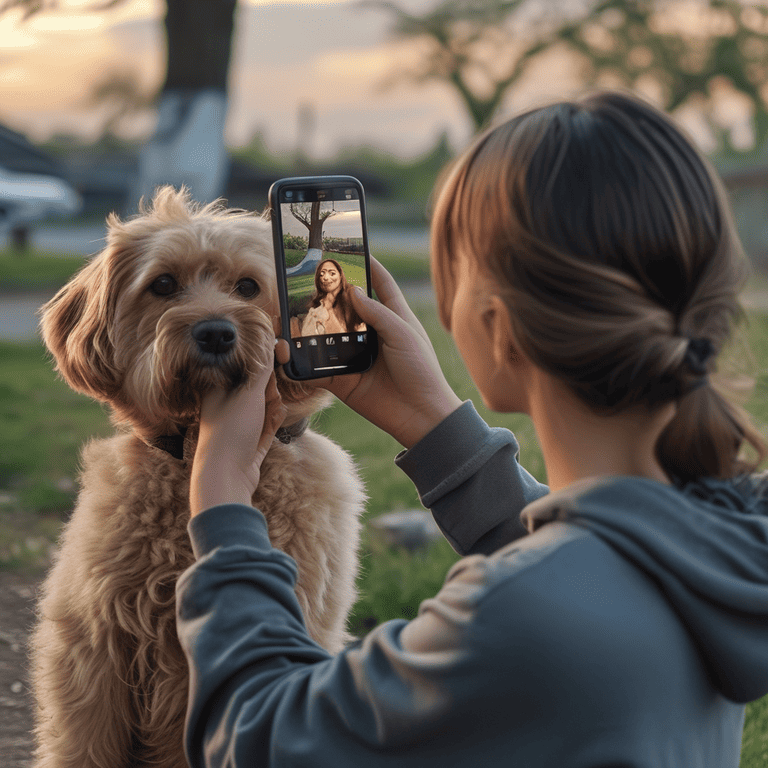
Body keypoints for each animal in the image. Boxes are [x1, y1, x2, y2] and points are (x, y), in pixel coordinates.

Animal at [30, 186, 366, 768]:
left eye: (248, 287)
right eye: (163, 284)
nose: (215, 332)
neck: (191, 456)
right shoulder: (94, 653)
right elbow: (84, 743)